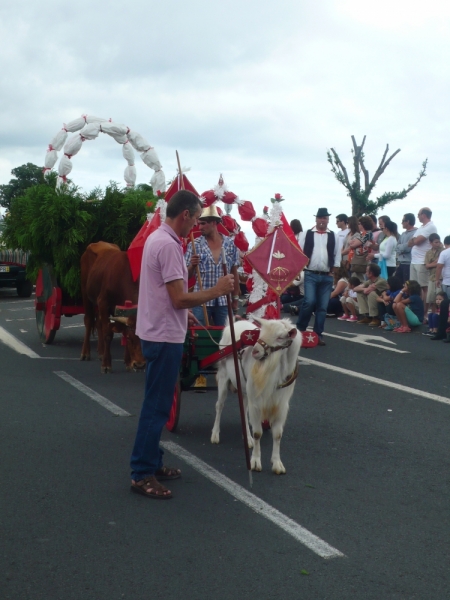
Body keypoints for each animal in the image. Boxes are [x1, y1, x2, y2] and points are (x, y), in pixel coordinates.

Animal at [212, 316, 302, 476]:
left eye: (280, 337)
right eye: (261, 333)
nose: (255, 351)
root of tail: (231, 325)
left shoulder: (281, 404)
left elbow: (277, 434)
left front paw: (277, 463)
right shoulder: (257, 401)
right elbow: (258, 432)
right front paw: (254, 462)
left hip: (244, 388)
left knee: (244, 410)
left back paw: (247, 439)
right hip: (223, 376)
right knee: (219, 405)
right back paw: (215, 435)